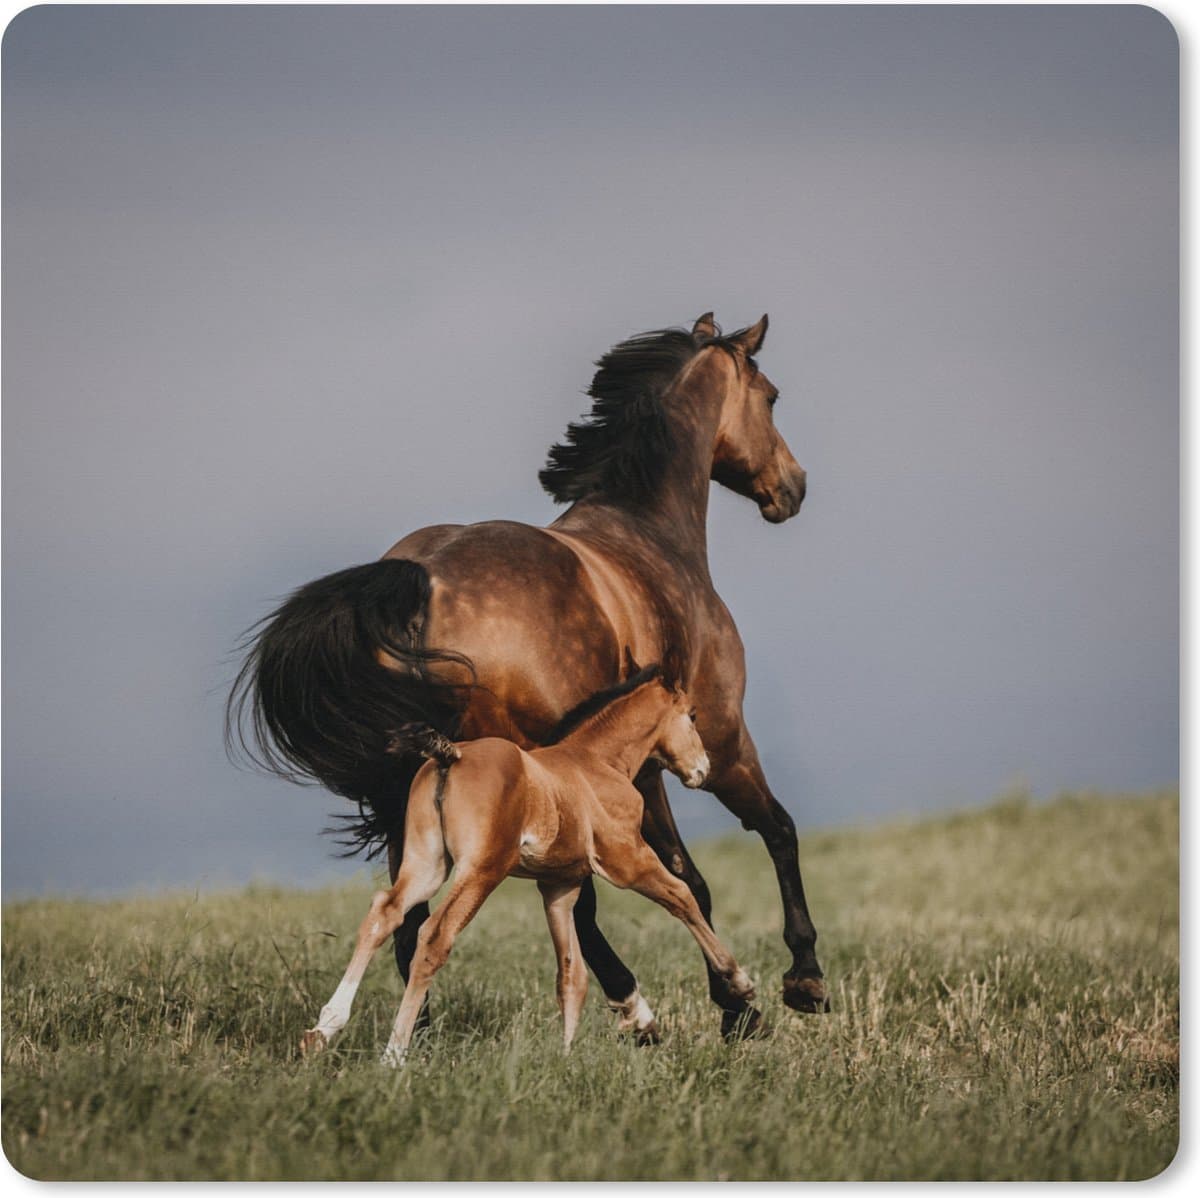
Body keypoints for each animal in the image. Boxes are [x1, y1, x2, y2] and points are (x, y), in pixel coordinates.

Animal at [299, 668, 755, 1065]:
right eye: (691, 715)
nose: (702, 770)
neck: (596, 762)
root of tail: (451, 755)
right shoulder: (628, 860)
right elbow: (683, 898)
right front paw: (741, 982)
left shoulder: (559, 887)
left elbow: (571, 976)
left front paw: (565, 1059)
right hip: (481, 870)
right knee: (434, 936)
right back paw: (394, 1055)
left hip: (427, 866)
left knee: (384, 913)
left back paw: (323, 1030)